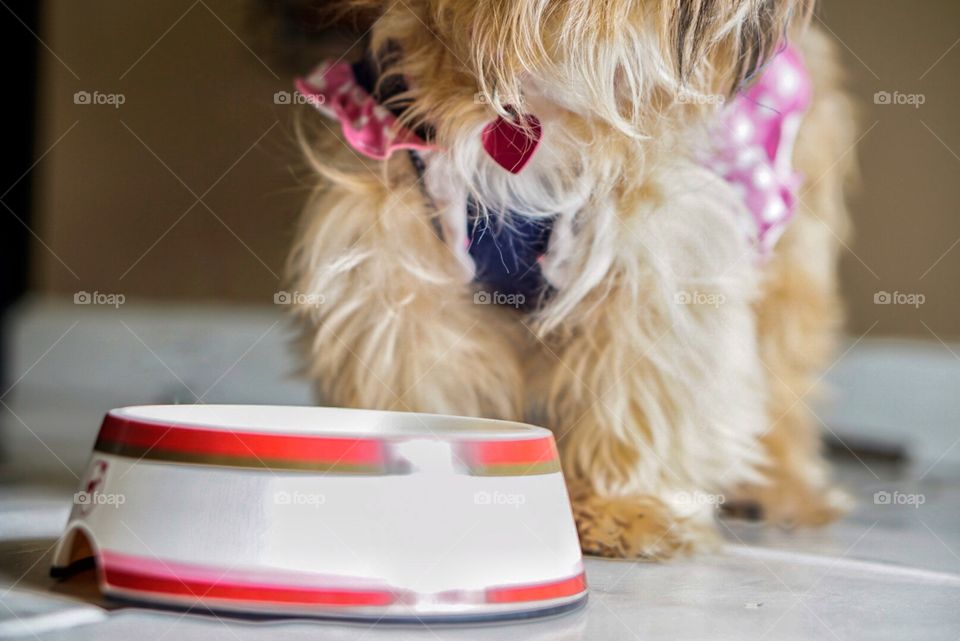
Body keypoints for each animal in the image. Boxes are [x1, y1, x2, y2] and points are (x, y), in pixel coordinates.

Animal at [284, 0, 856, 556]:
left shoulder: (655, 259)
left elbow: (636, 394)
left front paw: (621, 505)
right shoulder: (396, 264)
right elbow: (415, 382)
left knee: (784, 374)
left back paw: (780, 488)